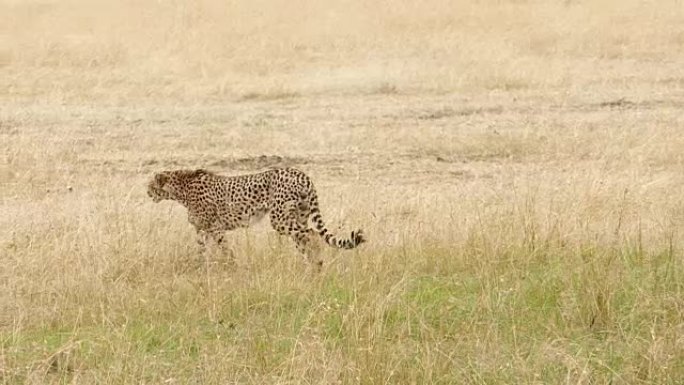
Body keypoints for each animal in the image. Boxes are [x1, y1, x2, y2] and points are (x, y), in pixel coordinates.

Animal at [147, 166, 366, 266]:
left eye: (150, 186)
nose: (147, 193)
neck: (181, 189)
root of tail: (301, 173)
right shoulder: (203, 230)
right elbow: (201, 251)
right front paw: (199, 267)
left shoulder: (215, 228)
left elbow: (226, 250)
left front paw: (233, 267)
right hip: (298, 215)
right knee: (304, 237)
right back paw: (311, 266)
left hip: (279, 218)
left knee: (310, 235)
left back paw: (316, 263)